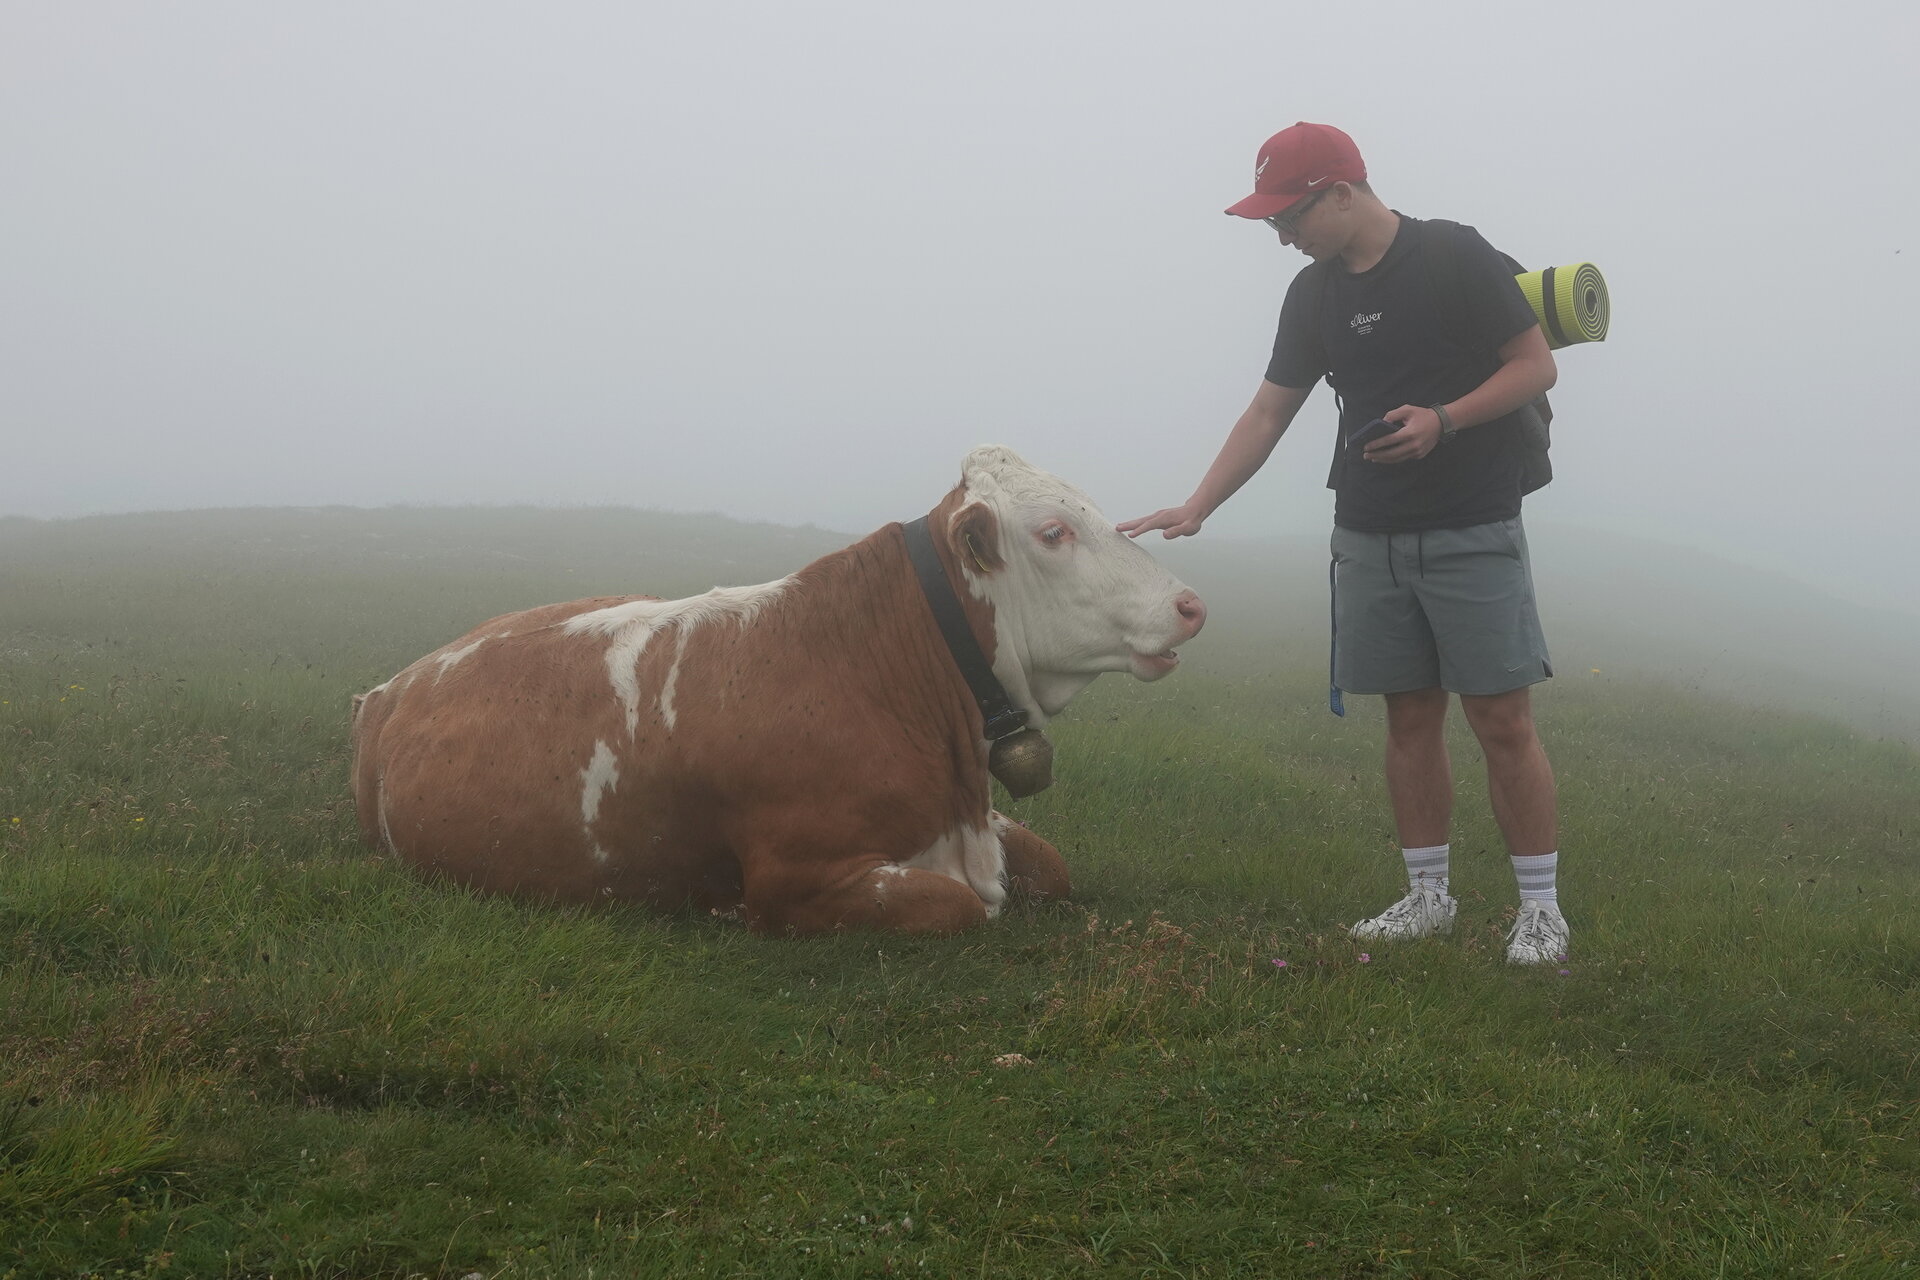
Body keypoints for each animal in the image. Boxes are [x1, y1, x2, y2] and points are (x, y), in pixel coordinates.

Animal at [349, 445, 1198, 936]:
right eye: (1054, 532)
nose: (1190, 605)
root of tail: (393, 686)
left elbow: (1051, 866)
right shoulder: (800, 878)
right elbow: (956, 908)